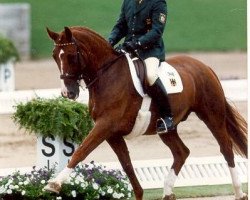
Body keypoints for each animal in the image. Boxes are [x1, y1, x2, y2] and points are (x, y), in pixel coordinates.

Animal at [45, 26, 248, 200]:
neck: (107, 76)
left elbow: (81, 151)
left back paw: (239, 192)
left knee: (226, 148)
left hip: (212, 115)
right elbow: (126, 165)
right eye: (54, 56)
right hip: (167, 128)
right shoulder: (112, 134)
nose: (68, 93)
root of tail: (204, 66)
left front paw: (53, 184)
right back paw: (168, 192)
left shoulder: (105, 125)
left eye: (71, 56)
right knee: (181, 152)